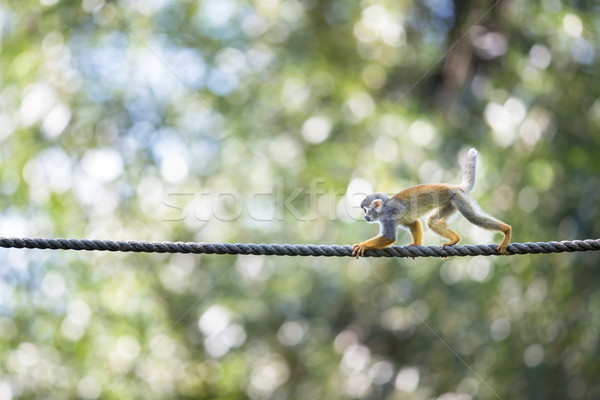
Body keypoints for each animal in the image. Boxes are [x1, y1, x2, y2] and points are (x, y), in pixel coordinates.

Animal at [352, 148, 510, 258]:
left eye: (365, 210)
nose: (365, 217)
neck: (384, 207)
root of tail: (455, 187)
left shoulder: (388, 215)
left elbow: (389, 237)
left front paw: (363, 245)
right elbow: (414, 222)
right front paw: (416, 245)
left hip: (459, 198)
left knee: (474, 218)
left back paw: (506, 230)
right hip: (450, 203)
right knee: (432, 221)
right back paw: (454, 239)